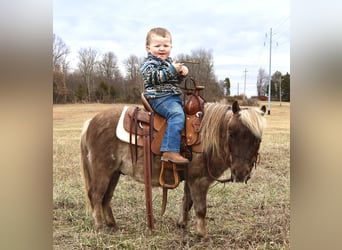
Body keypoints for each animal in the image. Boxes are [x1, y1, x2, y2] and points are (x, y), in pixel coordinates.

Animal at [81, 100, 268, 237]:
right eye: (231, 133)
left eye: (258, 139)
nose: (241, 172)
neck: (206, 138)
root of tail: (90, 122)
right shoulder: (199, 181)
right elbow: (201, 208)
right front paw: (202, 234)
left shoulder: (191, 180)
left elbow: (187, 202)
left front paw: (182, 224)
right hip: (103, 171)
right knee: (96, 195)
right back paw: (99, 227)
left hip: (114, 173)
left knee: (106, 197)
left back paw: (113, 225)